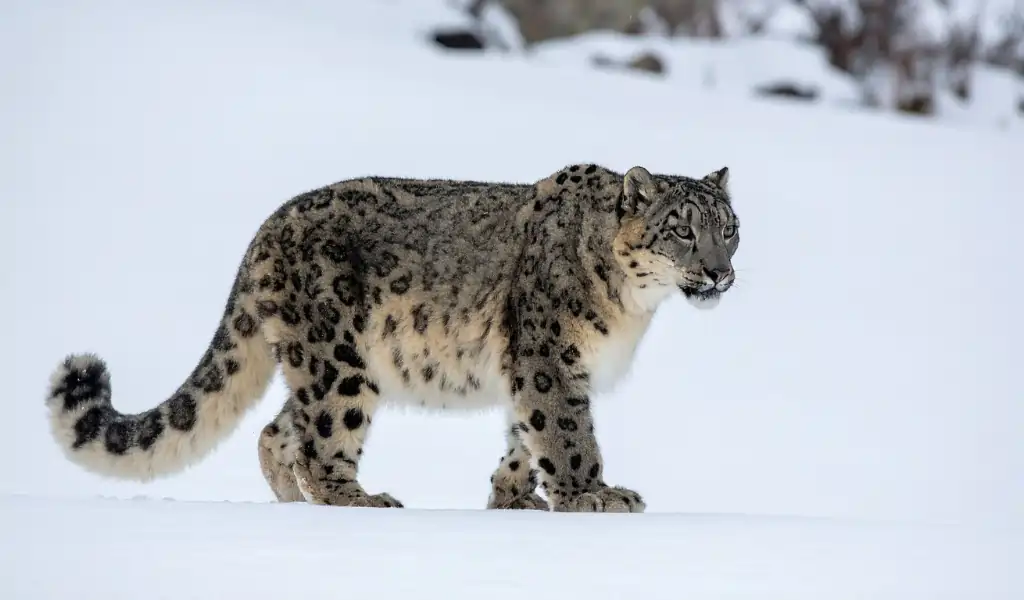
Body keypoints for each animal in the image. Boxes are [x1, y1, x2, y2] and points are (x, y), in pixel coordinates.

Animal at [45, 162, 741, 512]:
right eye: (681, 229)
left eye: (729, 227)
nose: (718, 270)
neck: (633, 307)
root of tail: (265, 229)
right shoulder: (547, 358)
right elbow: (565, 432)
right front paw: (592, 495)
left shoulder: (536, 367)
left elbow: (524, 434)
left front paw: (512, 498)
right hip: (339, 362)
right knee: (322, 440)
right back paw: (356, 500)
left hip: (321, 364)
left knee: (278, 430)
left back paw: (289, 502)